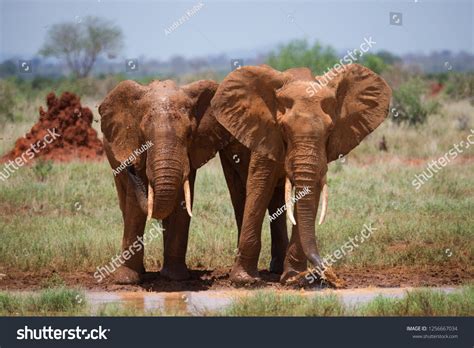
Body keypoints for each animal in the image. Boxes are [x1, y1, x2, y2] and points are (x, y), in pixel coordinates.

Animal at [211, 64, 392, 284]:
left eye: (330, 130)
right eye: (283, 128)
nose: (333, 277)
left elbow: (311, 192)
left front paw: (294, 279)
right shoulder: (264, 132)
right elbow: (259, 187)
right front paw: (245, 281)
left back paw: (277, 269)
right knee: (240, 195)